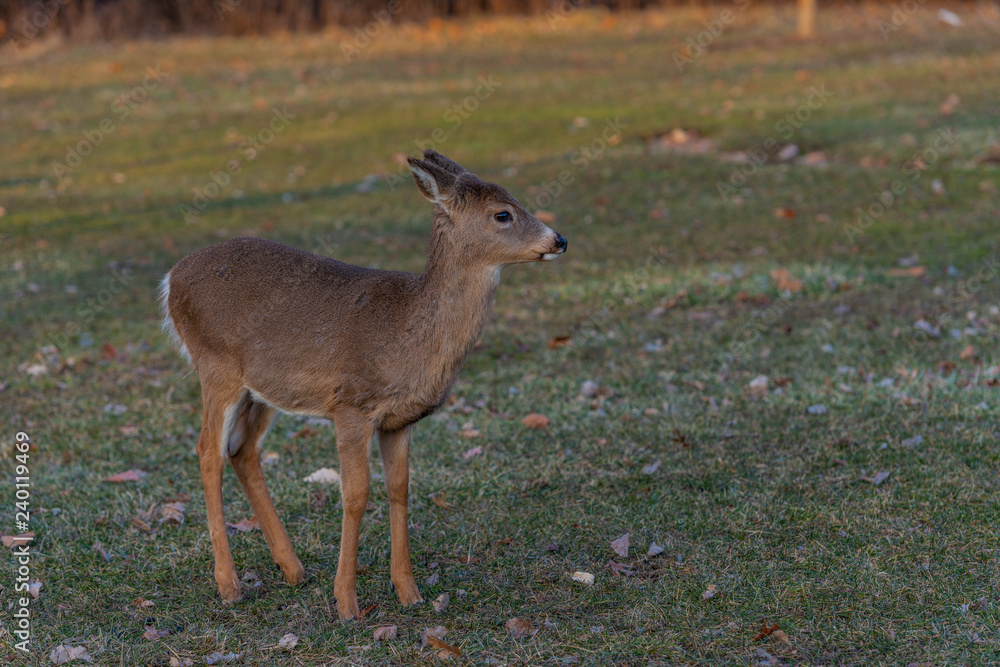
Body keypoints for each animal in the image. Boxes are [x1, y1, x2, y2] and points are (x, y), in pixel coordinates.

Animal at [159, 149, 567, 620]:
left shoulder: (399, 420)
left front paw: (409, 592)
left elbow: (400, 489)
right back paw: (230, 585)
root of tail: (170, 280)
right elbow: (354, 495)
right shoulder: (351, 405)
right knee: (208, 451)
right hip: (216, 365)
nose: (559, 240)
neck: (408, 335)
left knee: (241, 449)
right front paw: (347, 602)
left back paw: (293, 569)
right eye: (502, 213)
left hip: (262, 389)